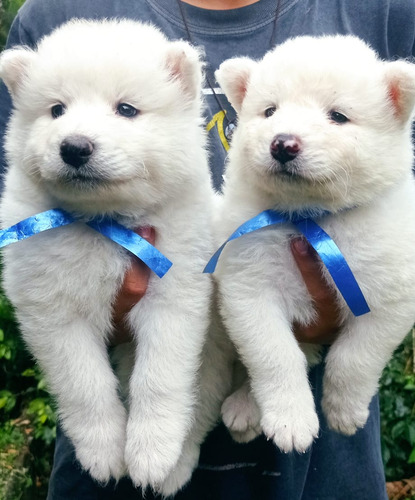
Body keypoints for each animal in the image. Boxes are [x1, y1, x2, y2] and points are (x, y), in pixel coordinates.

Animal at [0, 18, 228, 492]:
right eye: (56, 110)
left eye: (126, 109)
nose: (74, 146)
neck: (105, 222)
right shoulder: (52, 310)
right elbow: (83, 384)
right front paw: (103, 453)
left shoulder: (174, 296)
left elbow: (159, 378)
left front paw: (151, 454)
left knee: (199, 409)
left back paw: (173, 468)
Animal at [213, 34, 415, 450]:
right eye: (270, 111)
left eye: (337, 116)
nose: (283, 143)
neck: (311, 219)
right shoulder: (248, 282)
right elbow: (273, 353)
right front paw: (291, 421)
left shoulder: (387, 290)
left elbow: (354, 358)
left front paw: (344, 411)